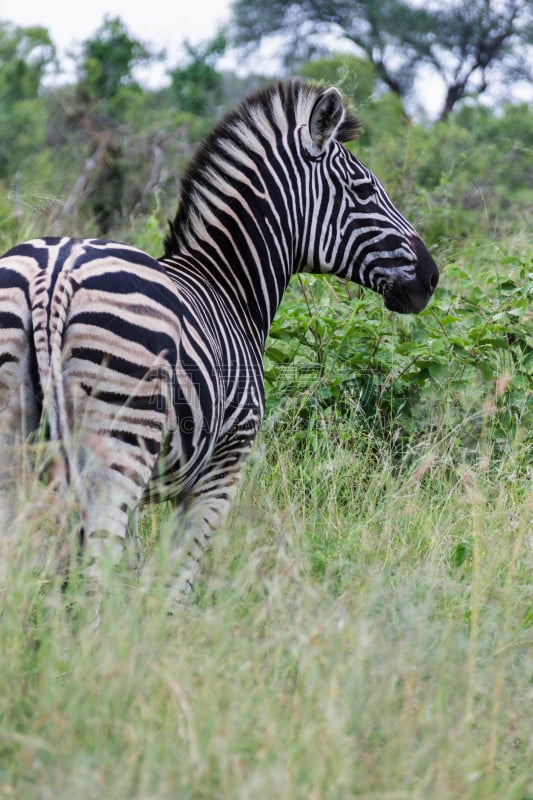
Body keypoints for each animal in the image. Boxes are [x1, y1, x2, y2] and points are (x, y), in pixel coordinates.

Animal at [0, 83, 436, 608]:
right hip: (118, 444)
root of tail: (56, 270)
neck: (228, 287)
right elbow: (173, 585)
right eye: (365, 190)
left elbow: (137, 571)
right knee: (97, 569)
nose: (431, 277)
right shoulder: (222, 468)